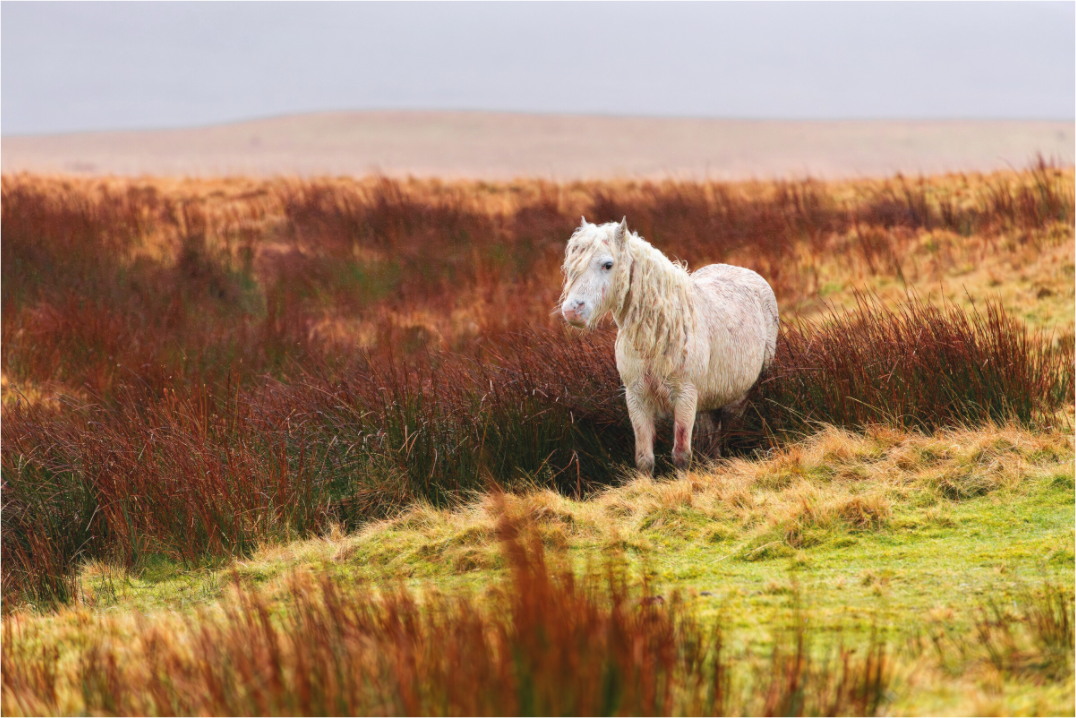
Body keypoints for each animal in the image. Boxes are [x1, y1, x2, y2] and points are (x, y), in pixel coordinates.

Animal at [559, 217, 779, 473]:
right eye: (570, 266)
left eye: (607, 265)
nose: (572, 311)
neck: (657, 333)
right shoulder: (637, 398)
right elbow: (644, 459)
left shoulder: (685, 396)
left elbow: (681, 455)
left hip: (740, 396)